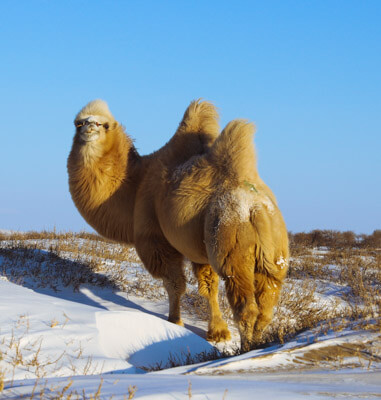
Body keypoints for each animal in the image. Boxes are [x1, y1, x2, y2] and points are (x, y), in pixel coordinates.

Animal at [67, 99, 288, 350]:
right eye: (78, 123)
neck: (135, 184)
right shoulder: (198, 248)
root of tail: (256, 210)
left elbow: (174, 284)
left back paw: (246, 348)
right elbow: (208, 286)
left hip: (230, 245)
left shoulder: (156, 240)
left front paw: (175, 322)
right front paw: (218, 332)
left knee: (246, 306)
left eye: (103, 124)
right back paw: (260, 342)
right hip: (273, 255)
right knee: (267, 305)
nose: (88, 128)